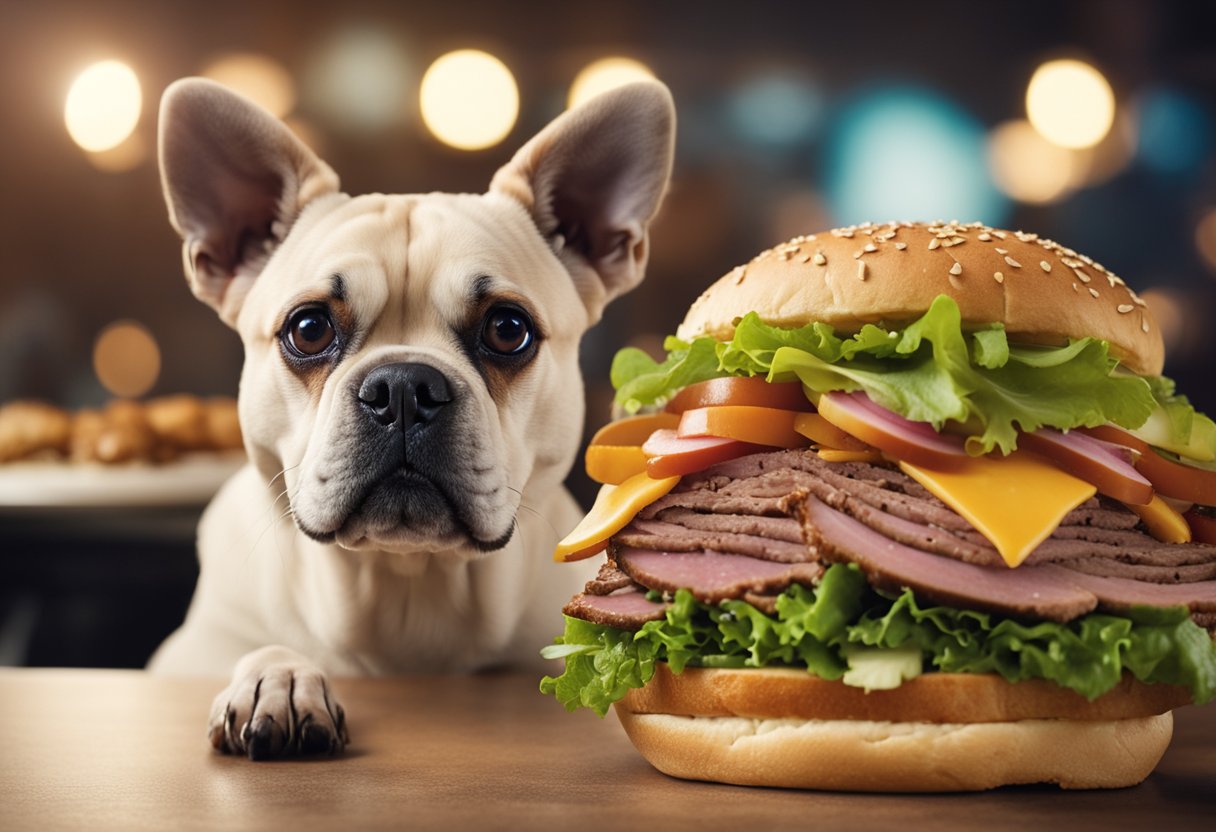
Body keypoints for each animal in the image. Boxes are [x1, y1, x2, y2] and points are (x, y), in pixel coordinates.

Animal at [147, 77, 676, 759]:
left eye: (508, 329)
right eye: (308, 328)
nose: (402, 387)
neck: (407, 578)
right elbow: (262, 651)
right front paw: (279, 680)